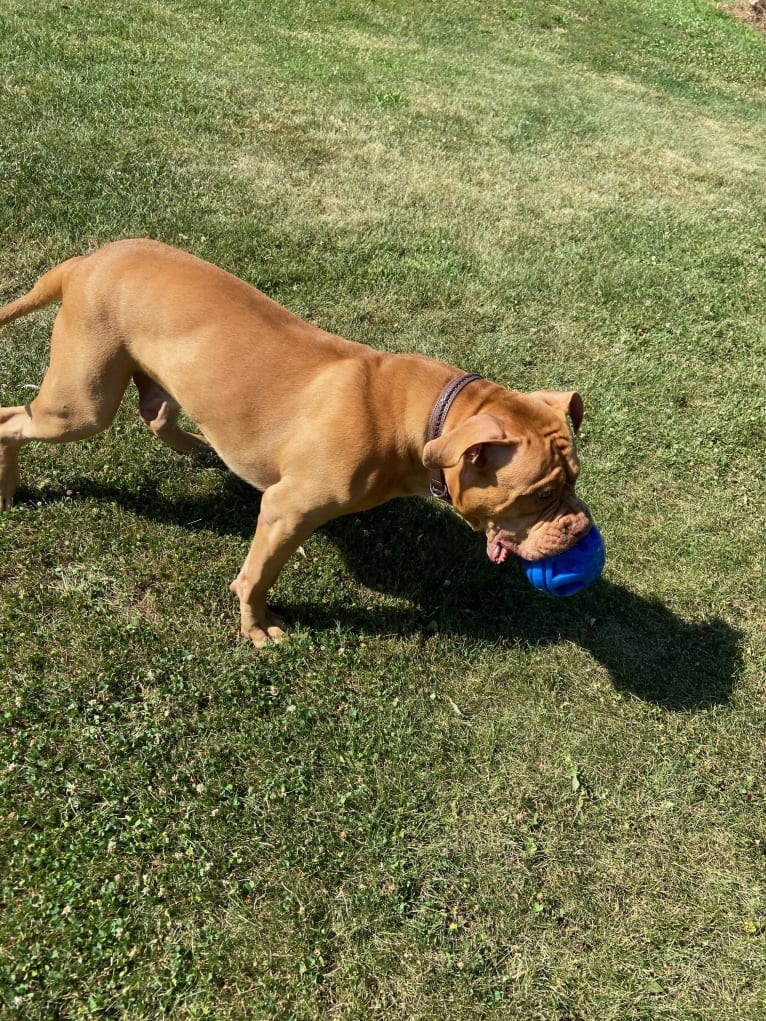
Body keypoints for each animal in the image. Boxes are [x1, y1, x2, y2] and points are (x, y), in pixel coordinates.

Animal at [0, 238, 592, 645]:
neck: (423, 414)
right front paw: (256, 624)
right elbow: (258, 575)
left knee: (155, 414)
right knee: (13, 419)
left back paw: (197, 447)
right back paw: (8, 490)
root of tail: (85, 261)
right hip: (79, 406)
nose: (581, 528)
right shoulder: (287, 510)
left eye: (574, 480)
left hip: (152, 379)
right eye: (540, 494)